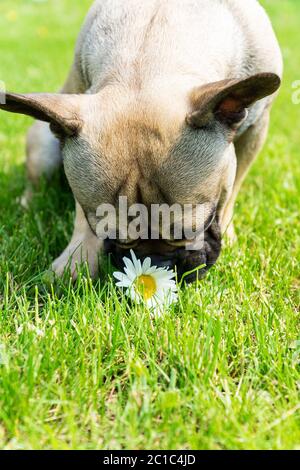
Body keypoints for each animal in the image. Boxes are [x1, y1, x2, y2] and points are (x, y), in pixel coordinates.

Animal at [0, 0, 282, 280]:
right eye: (113, 236)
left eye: (193, 229)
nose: (157, 262)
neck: (153, 57)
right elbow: (82, 216)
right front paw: (77, 258)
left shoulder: (256, 129)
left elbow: (232, 191)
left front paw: (230, 234)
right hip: (42, 148)